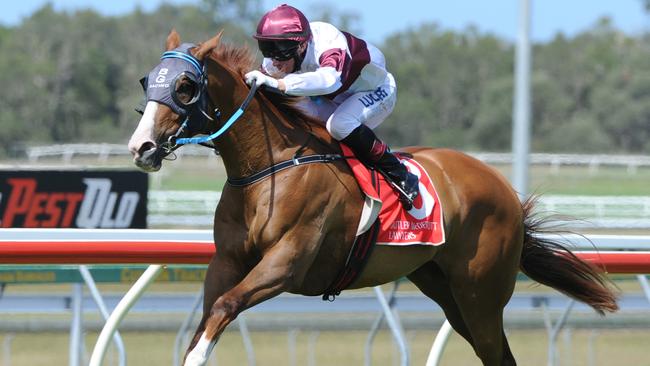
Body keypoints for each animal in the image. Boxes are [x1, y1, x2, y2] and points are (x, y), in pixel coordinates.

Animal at [128, 30, 616, 364]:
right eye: (148, 81)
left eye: (185, 86)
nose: (141, 147)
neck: (269, 169)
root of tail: (504, 190)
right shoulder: (227, 262)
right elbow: (208, 317)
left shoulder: (286, 263)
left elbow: (224, 308)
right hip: (443, 286)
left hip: (482, 291)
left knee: (496, 352)